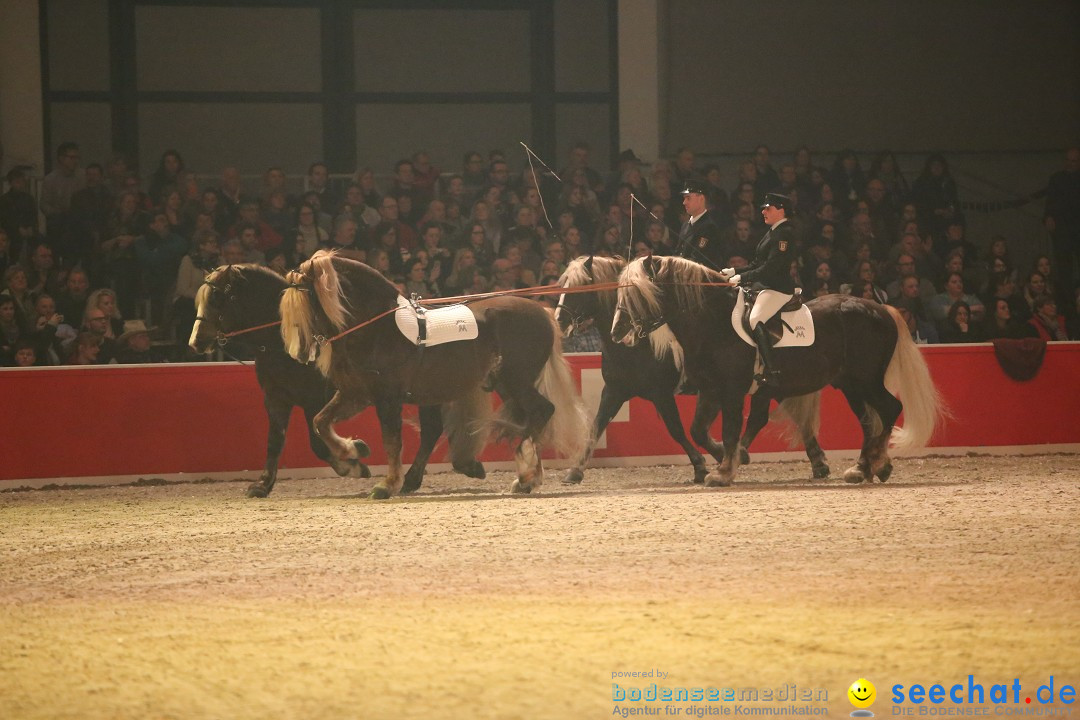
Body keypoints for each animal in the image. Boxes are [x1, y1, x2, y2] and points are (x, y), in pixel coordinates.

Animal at [190, 262, 486, 498]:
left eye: (217, 296)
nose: (196, 341)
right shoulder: (276, 399)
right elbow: (275, 441)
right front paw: (262, 484)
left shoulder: (315, 398)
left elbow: (317, 442)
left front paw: (353, 460)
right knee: (433, 429)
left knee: (431, 430)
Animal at [276, 250, 583, 498]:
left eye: (307, 298)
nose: (299, 353)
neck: (378, 327)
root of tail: (543, 312)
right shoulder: (357, 394)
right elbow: (321, 421)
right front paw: (353, 453)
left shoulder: (388, 398)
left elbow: (392, 441)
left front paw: (386, 485)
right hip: (507, 385)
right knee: (532, 416)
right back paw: (526, 478)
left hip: (517, 381)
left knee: (543, 410)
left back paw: (528, 474)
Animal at [552, 253, 829, 483]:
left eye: (580, 287)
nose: (559, 322)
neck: (636, 347)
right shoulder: (614, 391)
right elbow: (596, 427)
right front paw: (575, 471)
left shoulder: (662, 393)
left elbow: (676, 429)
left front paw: (703, 465)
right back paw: (815, 462)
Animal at [613, 255, 941, 487]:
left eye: (639, 294)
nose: (617, 333)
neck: (713, 323)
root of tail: (881, 309)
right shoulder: (711, 390)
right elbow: (698, 430)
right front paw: (727, 461)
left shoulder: (732, 390)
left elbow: (730, 430)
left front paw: (723, 472)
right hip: (851, 385)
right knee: (869, 421)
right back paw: (864, 468)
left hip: (866, 380)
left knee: (889, 408)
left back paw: (875, 463)